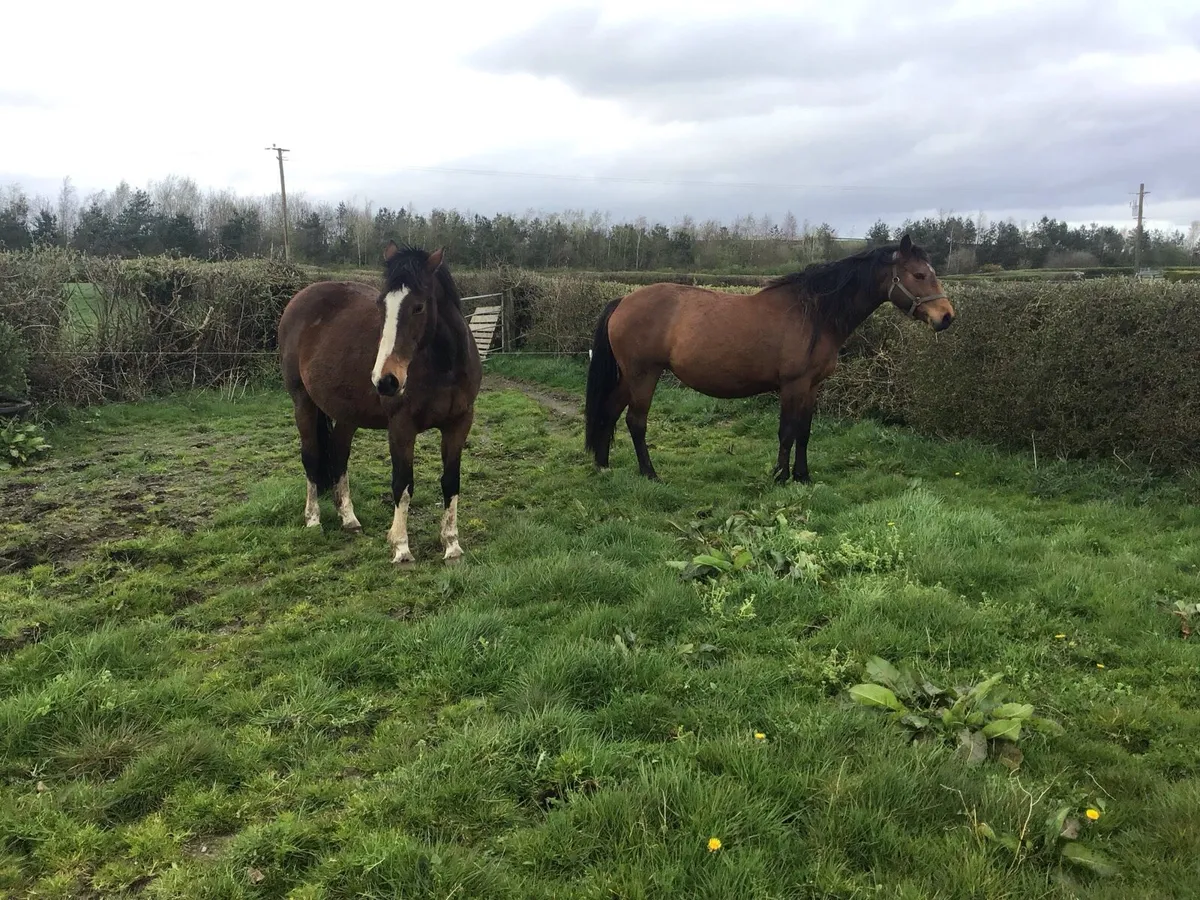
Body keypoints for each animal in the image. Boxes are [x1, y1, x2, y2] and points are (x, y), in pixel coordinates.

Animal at [277, 241, 482, 565]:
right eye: (380, 306)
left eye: (418, 306)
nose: (385, 380)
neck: (444, 367)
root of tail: (299, 300)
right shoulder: (401, 427)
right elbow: (403, 483)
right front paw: (400, 546)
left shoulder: (459, 423)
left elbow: (451, 482)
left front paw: (451, 544)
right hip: (303, 402)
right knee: (311, 457)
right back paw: (313, 519)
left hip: (346, 413)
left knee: (338, 456)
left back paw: (349, 519)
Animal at [583, 234, 955, 484]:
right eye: (919, 275)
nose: (946, 317)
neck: (815, 313)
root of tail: (623, 301)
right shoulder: (792, 385)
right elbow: (787, 432)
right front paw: (779, 476)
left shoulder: (811, 387)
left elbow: (804, 431)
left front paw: (802, 477)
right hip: (643, 375)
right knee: (635, 421)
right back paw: (649, 473)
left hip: (631, 376)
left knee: (610, 411)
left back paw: (603, 464)